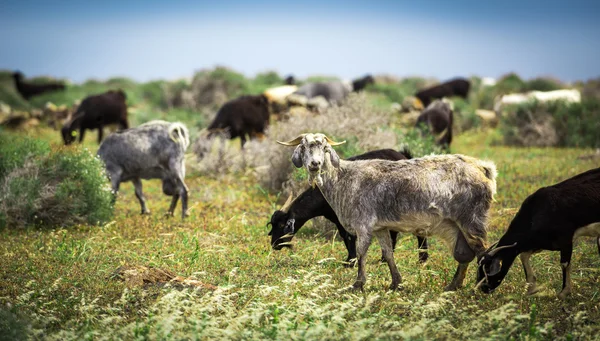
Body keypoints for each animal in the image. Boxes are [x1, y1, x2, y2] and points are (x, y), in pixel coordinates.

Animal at [264, 148, 428, 266]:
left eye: (282, 225)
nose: (274, 244)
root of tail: (404, 156)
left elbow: (349, 237)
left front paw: (351, 262)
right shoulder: (337, 219)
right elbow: (345, 236)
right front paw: (349, 259)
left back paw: (422, 258)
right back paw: (385, 259)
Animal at [478, 167, 600, 298]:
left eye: (487, 269)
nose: (483, 288)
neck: (536, 212)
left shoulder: (566, 238)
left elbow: (564, 263)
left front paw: (564, 292)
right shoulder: (540, 242)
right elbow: (523, 255)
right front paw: (531, 289)